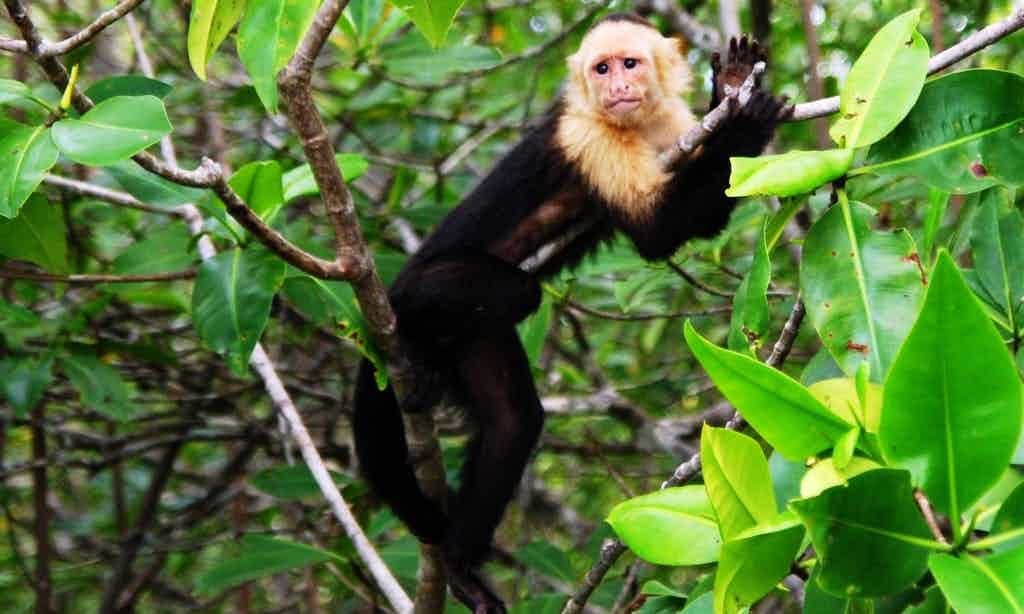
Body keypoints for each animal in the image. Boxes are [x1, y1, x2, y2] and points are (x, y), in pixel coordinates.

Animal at [352, 13, 789, 613]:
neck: (635, 124)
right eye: (600, 69)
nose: (616, 86)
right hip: (425, 282)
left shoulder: (674, 125)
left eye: (629, 64)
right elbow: (655, 231)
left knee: (512, 419)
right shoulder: (587, 137)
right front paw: (745, 120)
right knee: (514, 296)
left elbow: (699, 214)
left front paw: (731, 87)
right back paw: (415, 343)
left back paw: (461, 560)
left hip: (475, 338)